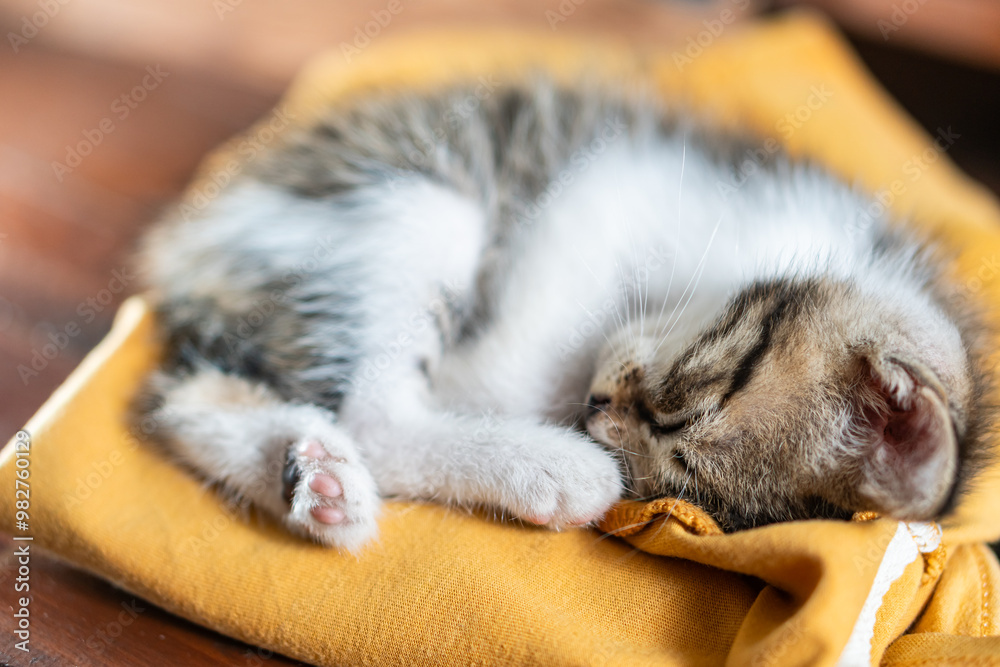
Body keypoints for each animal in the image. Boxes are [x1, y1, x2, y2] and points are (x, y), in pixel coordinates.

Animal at [133, 78, 992, 552]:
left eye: (666, 475)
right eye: (685, 398)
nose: (594, 404)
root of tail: (184, 247)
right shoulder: (616, 185)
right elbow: (528, 333)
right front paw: (506, 394)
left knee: (185, 398)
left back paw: (319, 483)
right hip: (419, 202)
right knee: (375, 409)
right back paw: (551, 468)